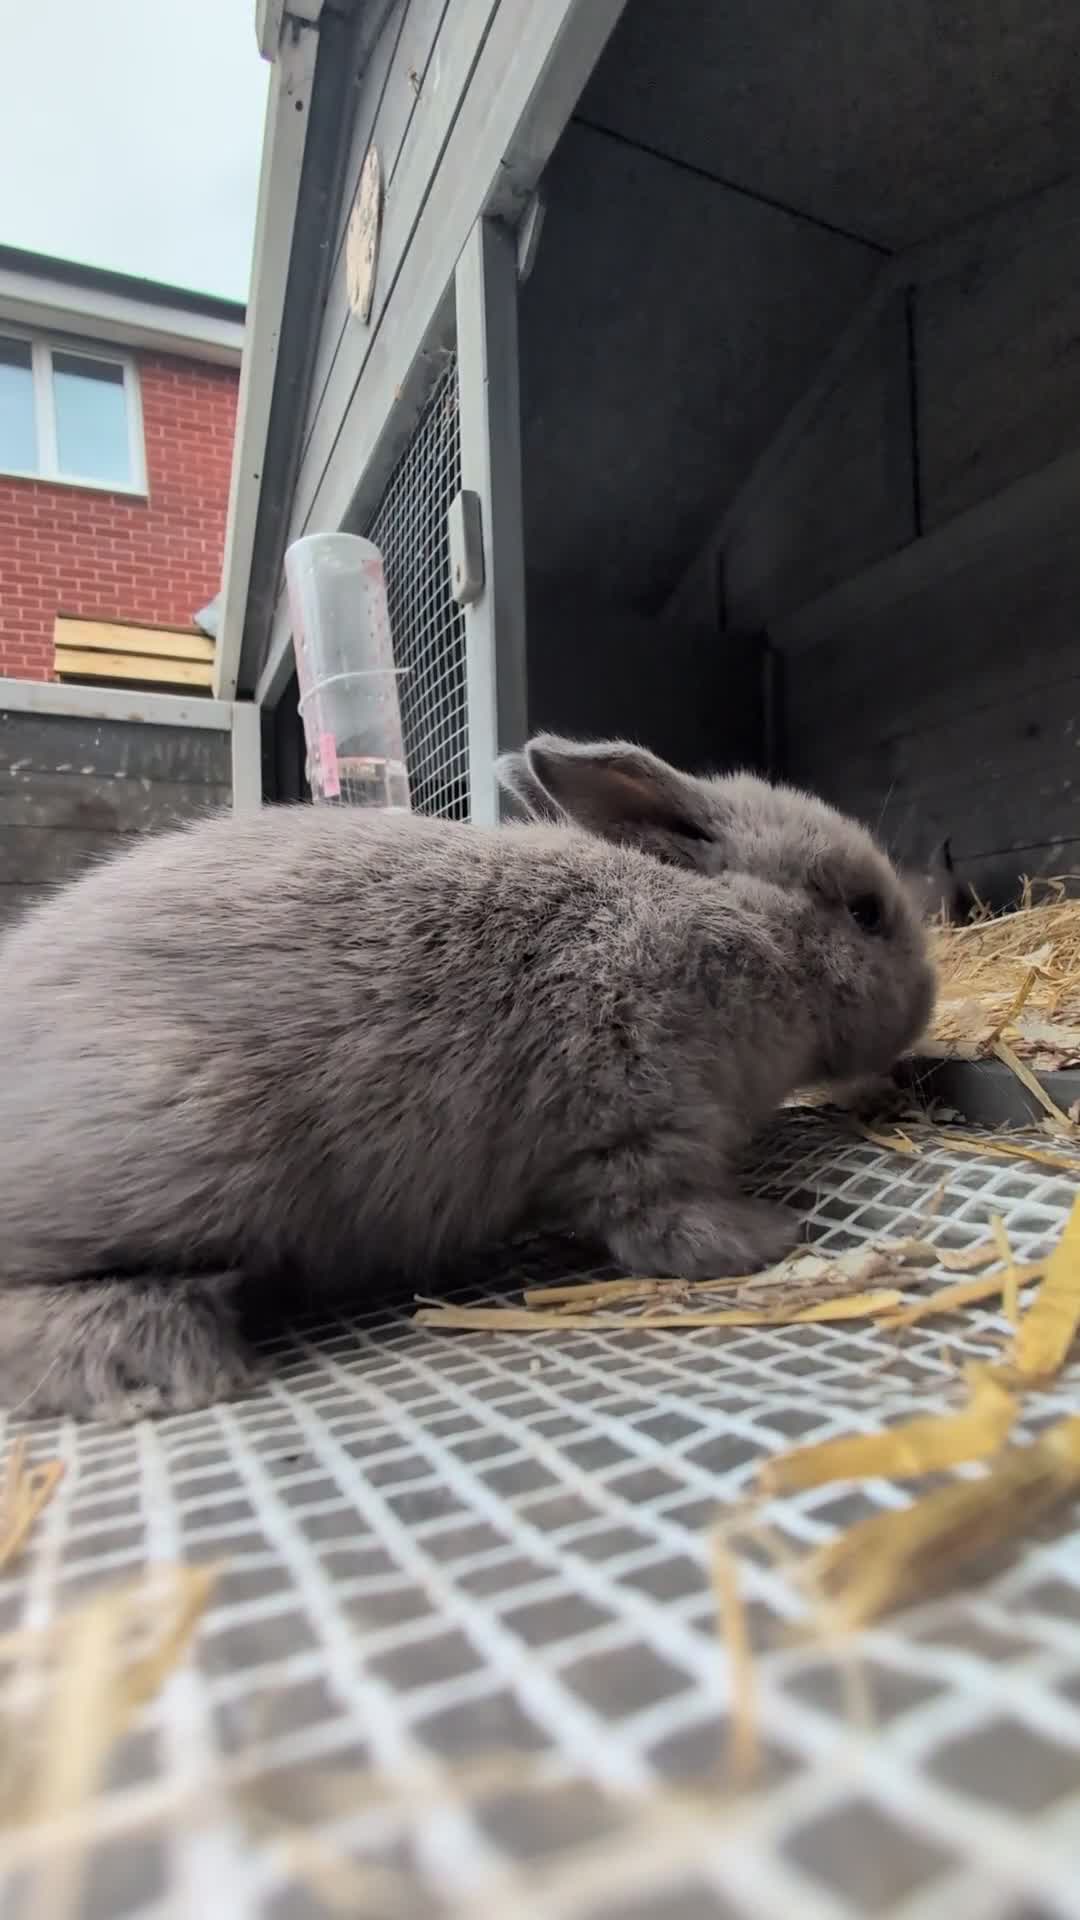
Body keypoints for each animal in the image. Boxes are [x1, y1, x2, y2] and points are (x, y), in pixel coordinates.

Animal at [0, 736, 934, 1422]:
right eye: (864, 913)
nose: (926, 1003)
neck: (735, 928)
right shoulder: (635, 1112)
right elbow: (659, 1221)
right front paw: (769, 1235)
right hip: (192, 1152)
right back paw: (173, 1362)